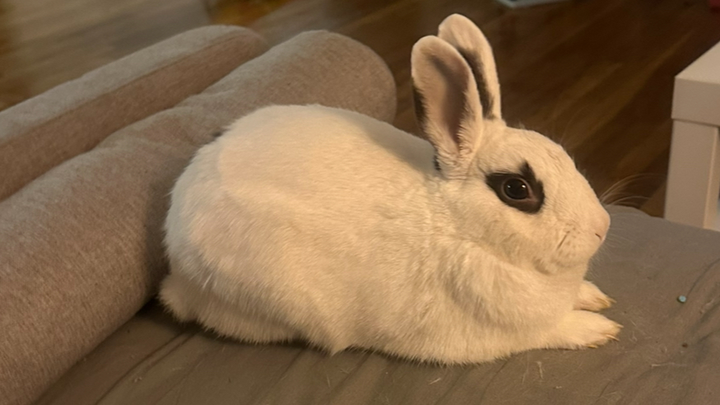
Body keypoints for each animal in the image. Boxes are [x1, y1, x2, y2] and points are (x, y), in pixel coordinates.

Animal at [159, 13, 620, 365]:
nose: (602, 227)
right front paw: (599, 328)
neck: (457, 230)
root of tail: (176, 266)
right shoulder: (498, 334)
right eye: (516, 188)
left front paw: (594, 297)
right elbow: (550, 330)